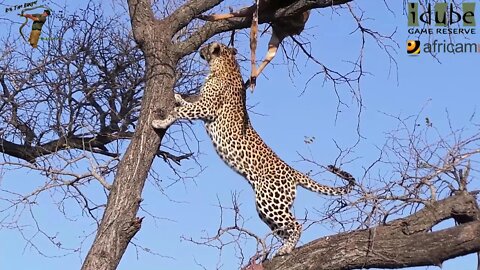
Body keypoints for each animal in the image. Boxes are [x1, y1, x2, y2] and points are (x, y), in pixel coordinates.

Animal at [152, 41, 354, 255]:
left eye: (207, 46)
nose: (200, 49)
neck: (225, 64)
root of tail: (293, 172)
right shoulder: (202, 103)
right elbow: (184, 104)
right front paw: (177, 96)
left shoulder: (207, 107)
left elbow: (179, 112)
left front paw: (160, 121)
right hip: (268, 207)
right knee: (283, 229)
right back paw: (279, 250)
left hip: (270, 201)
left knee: (296, 225)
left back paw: (286, 249)